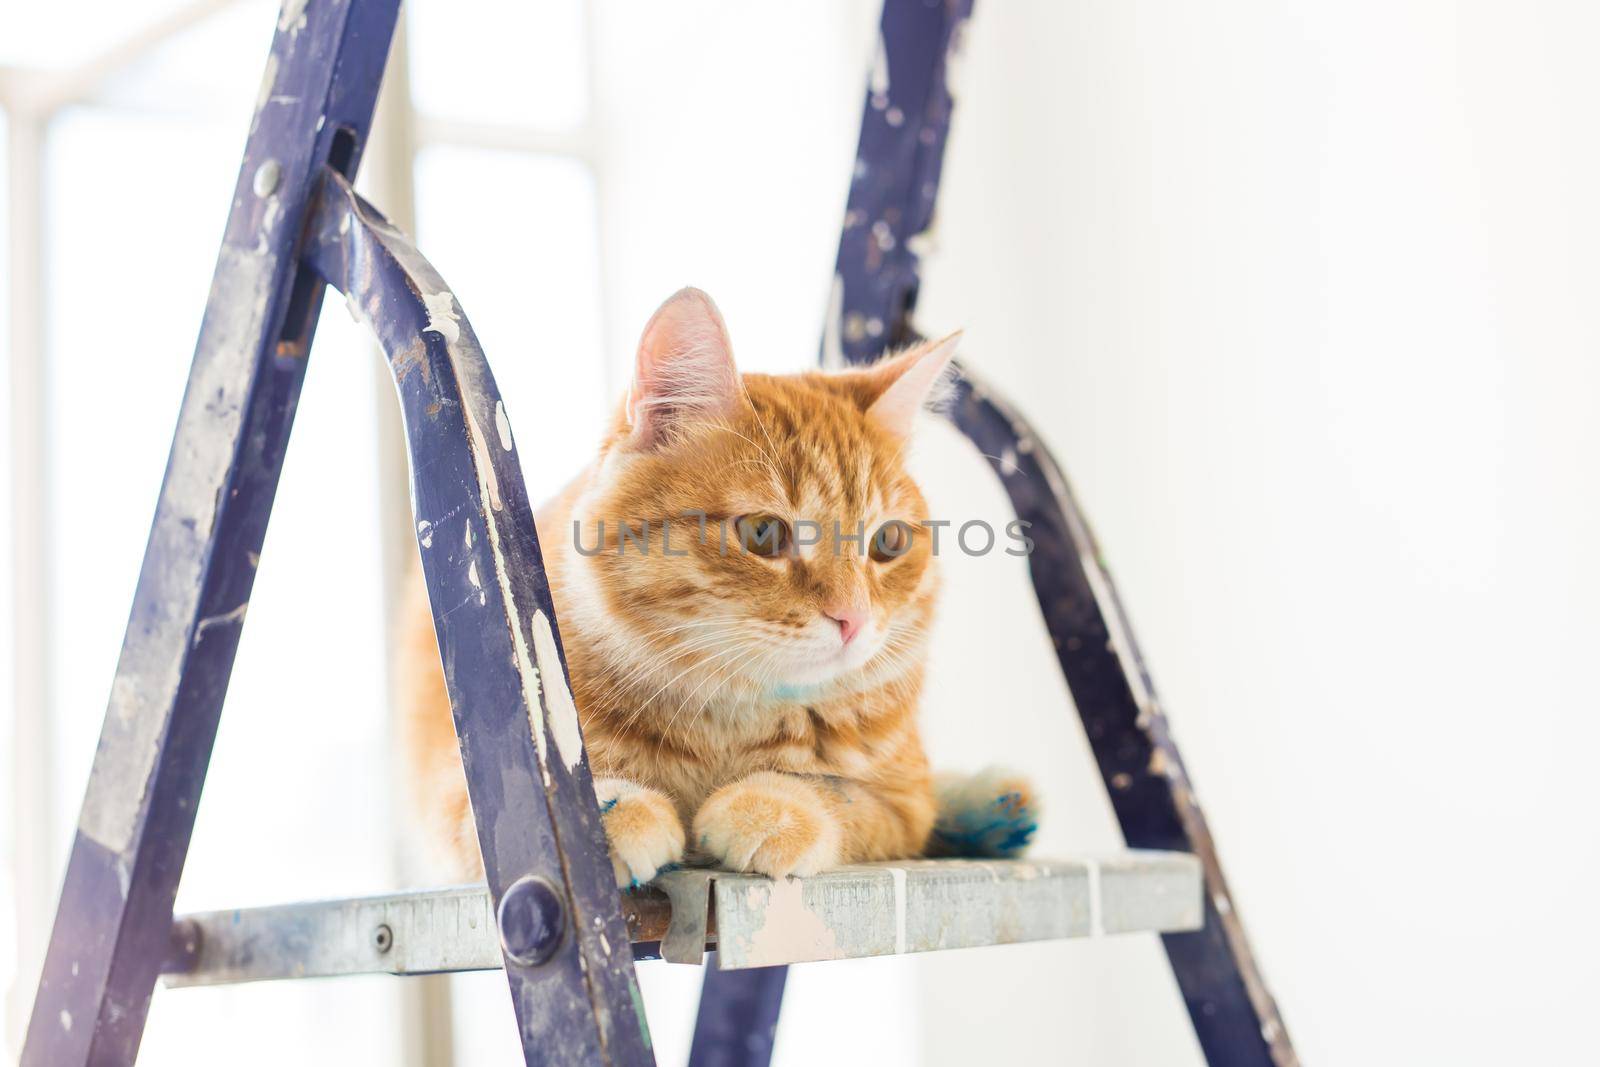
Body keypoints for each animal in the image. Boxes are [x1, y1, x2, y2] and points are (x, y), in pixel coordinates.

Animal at [403, 286, 1036, 883]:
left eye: (888, 543)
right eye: (762, 533)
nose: (853, 619)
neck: (728, 725)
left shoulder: (905, 806)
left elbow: (841, 793)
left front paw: (772, 806)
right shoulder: (467, 805)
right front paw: (612, 814)